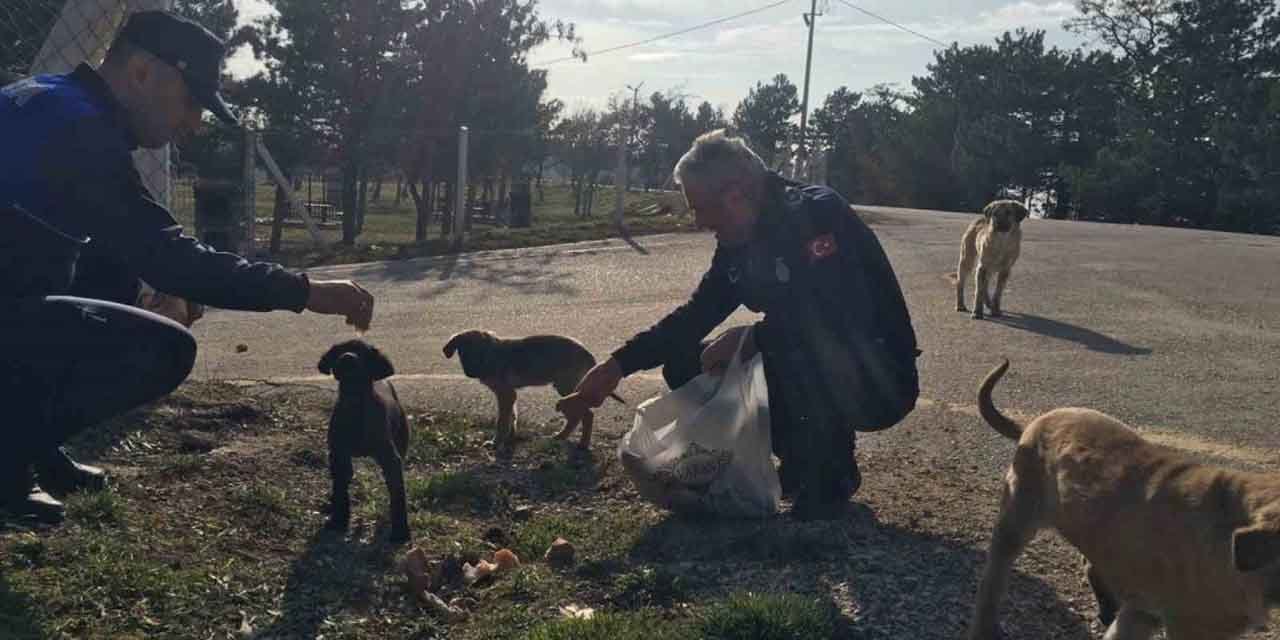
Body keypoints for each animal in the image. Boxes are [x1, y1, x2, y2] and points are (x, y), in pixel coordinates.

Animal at [316, 340, 407, 545]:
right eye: (338, 350)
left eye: (363, 351)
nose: (347, 358)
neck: (355, 405)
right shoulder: (338, 454)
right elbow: (340, 490)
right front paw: (339, 520)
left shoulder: (390, 459)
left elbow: (397, 494)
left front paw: (400, 531)